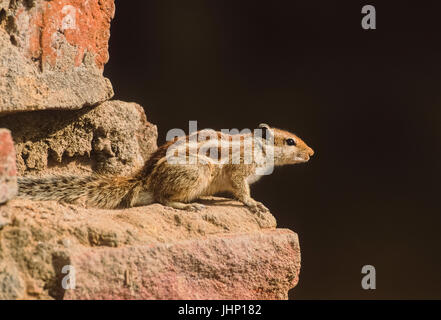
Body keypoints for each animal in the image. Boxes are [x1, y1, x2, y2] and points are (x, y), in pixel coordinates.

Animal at [17, 124, 312, 214]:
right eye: (290, 141)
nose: (312, 153)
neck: (259, 147)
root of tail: (144, 179)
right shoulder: (240, 169)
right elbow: (241, 190)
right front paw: (254, 204)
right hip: (197, 173)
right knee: (162, 198)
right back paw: (188, 205)